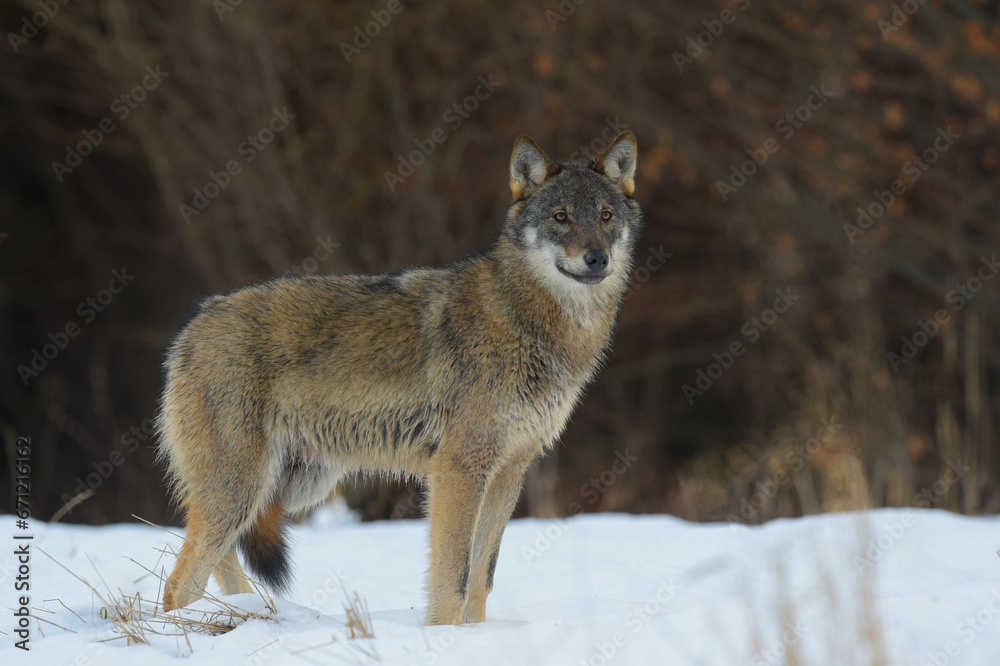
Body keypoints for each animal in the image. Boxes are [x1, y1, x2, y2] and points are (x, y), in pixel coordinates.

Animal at [156, 131, 642, 625]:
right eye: (561, 217)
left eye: (605, 216)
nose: (597, 258)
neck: (528, 322)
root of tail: (197, 319)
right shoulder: (458, 470)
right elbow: (454, 581)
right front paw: (443, 635)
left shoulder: (509, 471)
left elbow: (481, 580)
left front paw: (477, 636)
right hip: (245, 491)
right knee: (179, 582)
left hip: (288, 490)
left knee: (218, 562)